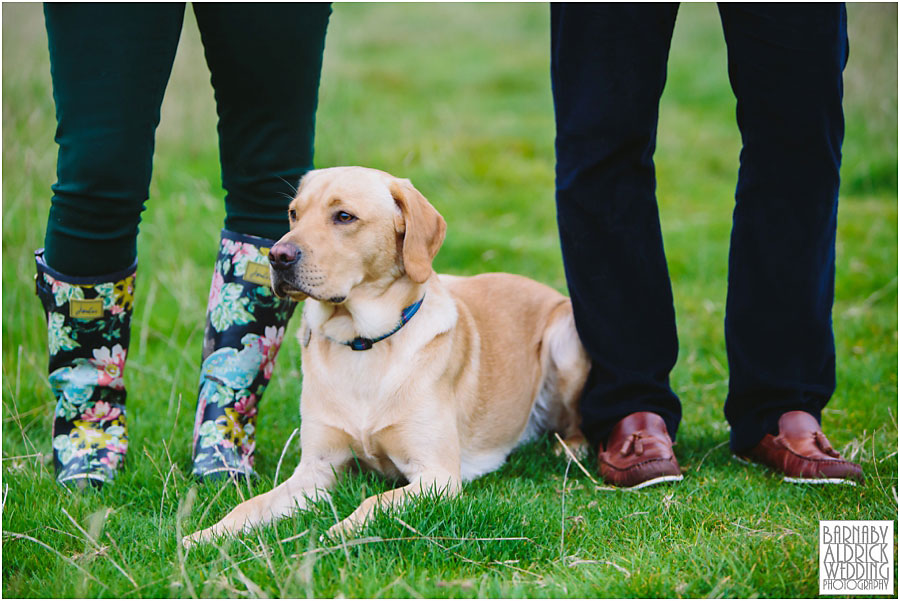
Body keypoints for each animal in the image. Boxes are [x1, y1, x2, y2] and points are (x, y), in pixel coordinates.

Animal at [183, 166, 592, 548]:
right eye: (293, 214)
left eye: (344, 216)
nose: (277, 256)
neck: (362, 343)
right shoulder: (316, 469)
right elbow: (250, 505)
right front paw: (205, 535)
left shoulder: (438, 476)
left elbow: (372, 503)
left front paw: (337, 534)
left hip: (565, 342)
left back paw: (571, 449)